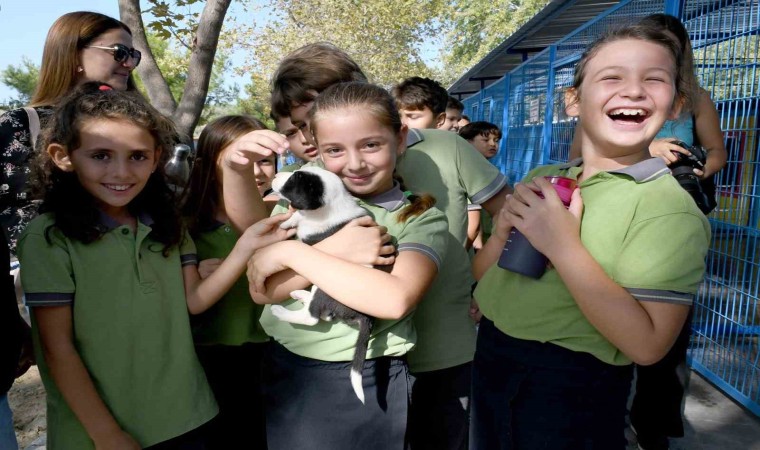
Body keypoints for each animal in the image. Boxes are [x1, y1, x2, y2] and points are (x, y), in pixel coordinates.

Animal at [274, 166, 378, 404]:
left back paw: (281, 311)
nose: (275, 175)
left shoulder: (311, 238)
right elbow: (296, 215)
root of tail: (365, 317)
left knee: (312, 317)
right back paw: (300, 295)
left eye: (292, 180)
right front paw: (286, 222)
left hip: (326, 285)